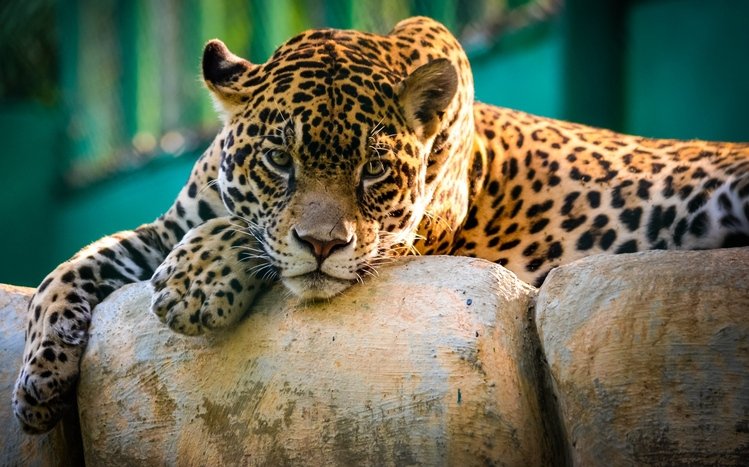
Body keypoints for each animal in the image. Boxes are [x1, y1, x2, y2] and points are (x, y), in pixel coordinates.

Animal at [13, 16, 749, 434]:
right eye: (279, 159)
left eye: (372, 171)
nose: (322, 244)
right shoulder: (165, 227)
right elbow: (69, 267)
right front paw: (37, 383)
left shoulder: (406, 238)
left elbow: (256, 240)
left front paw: (194, 282)